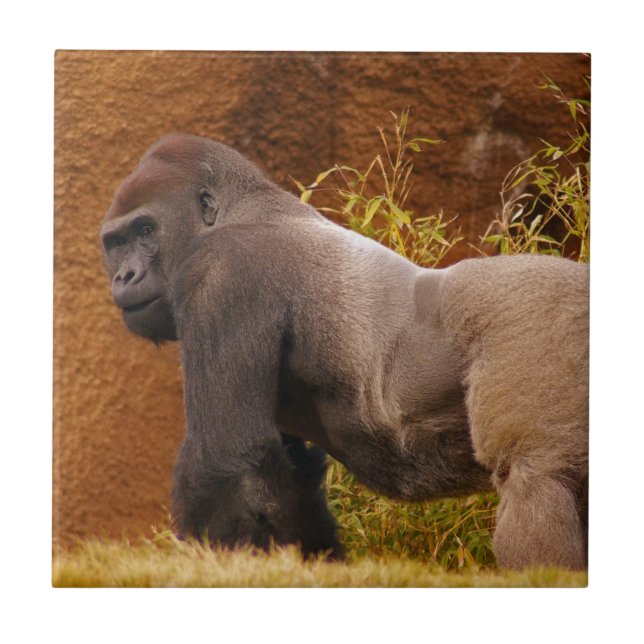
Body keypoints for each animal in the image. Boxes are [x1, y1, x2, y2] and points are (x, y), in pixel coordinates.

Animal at [100, 134, 588, 569]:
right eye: (116, 243)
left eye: (146, 230)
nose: (124, 276)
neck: (237, 209)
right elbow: (286, 480)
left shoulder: (221, 272)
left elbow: (227, 458)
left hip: (535, 315)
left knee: (535, 479)